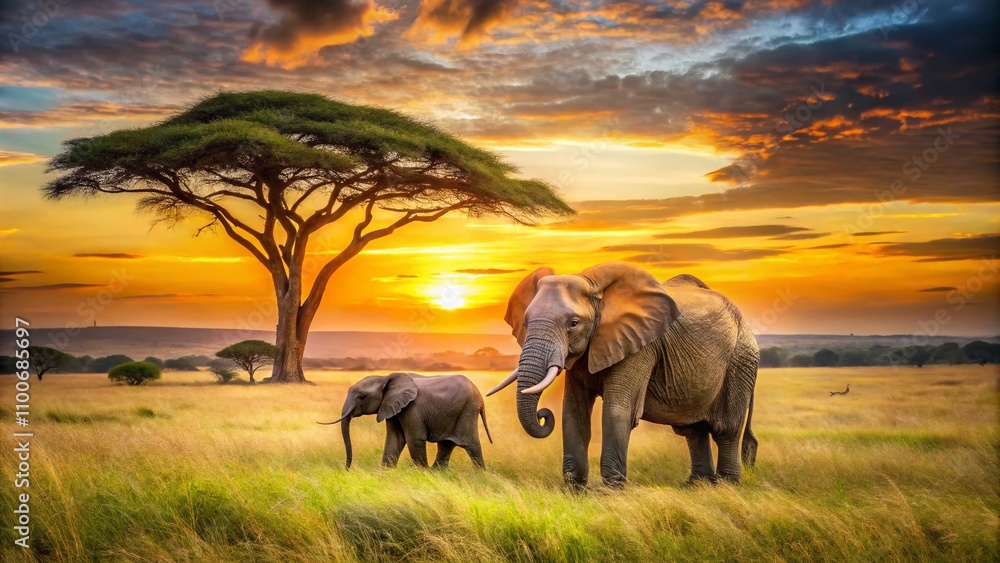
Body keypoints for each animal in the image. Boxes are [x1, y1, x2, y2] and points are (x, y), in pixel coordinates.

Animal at [320, 372, 492, 470]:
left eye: (362, 396)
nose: (346, 469)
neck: (385, 379)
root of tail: (481, 397)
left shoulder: (411, 408)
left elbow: (414, 439)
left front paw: (421, 474)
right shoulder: (392, 407)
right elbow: (394, 439)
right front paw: (386, 473)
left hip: (468, 410)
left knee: (470, 444)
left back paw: (480, 475)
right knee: (445, 444)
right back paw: (437, 473)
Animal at [488, 262, 758, 488]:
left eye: (573, 323)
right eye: (526, 322)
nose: (543, 414)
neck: (595, 290)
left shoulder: (641, 346)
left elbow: (618, 411)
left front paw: (611, 490)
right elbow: (573, 412)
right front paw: (575, 489)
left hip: (741, 360)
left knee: (726, 429)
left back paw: (726, 486)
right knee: (692, 430)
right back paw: (697, 486)